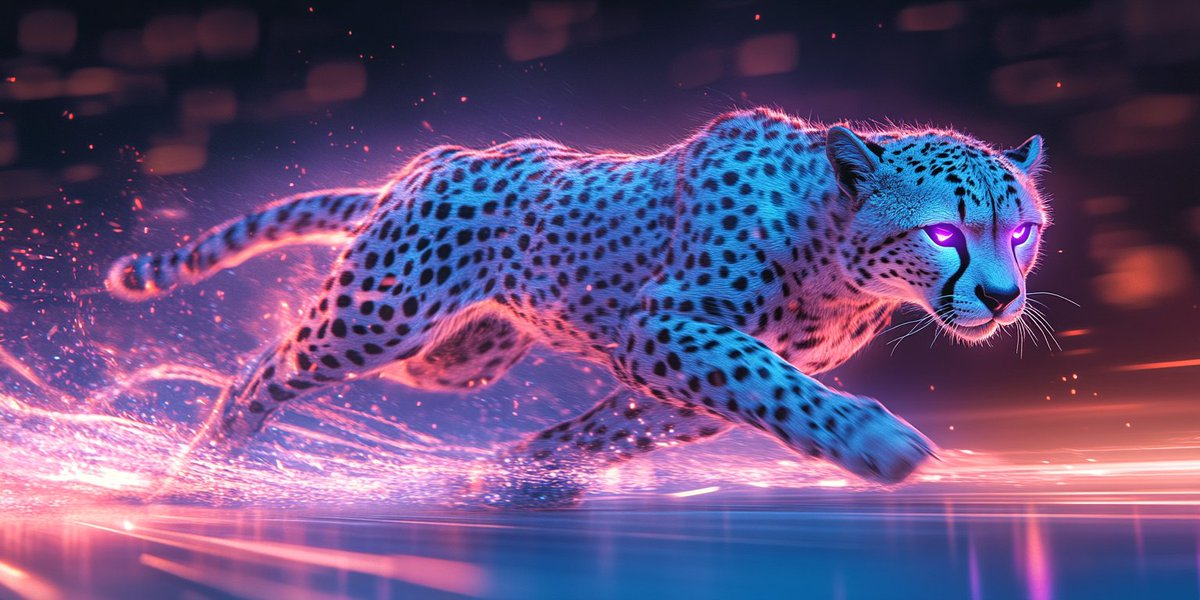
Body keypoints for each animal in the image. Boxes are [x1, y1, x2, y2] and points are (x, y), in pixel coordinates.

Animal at [107, 107, 1048, 507]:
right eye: (945, 233)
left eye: (1023, 232)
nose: (1002, 297)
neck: (840, 251)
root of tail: (425, 163)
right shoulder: (663, 331)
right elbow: (774, 385)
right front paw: (874, 441)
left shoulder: (672, 382)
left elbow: (606, 432)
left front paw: (511, 474)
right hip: (382, 317)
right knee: (261, 372)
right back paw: (197, 471)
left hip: (460, 359)